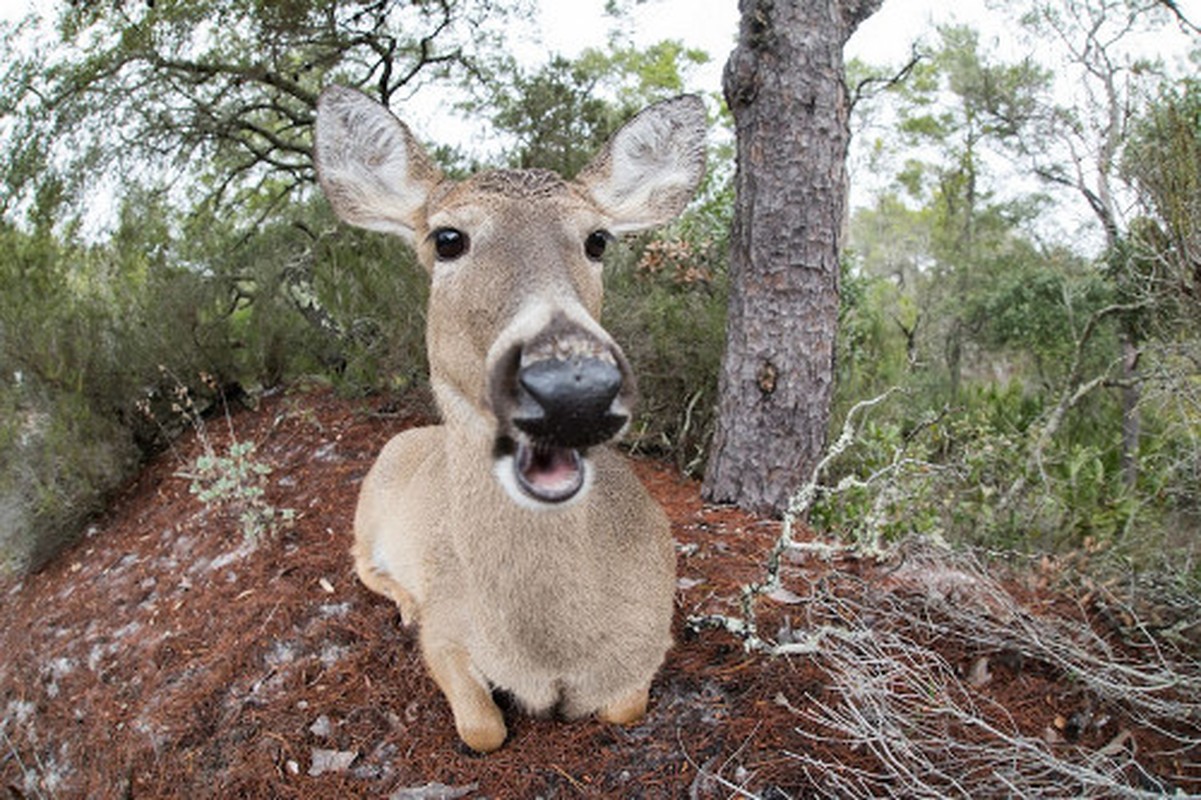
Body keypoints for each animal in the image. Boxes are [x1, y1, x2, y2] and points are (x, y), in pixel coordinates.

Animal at [312, 84, 701, 749]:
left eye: (598, 239)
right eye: (447, 238)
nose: (574, 386)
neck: (552, 652)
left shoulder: (654, 638)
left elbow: (623, 708)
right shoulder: (446, 632)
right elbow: (482, 728)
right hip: (367, 508)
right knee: (358, 561)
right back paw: (402, 599)